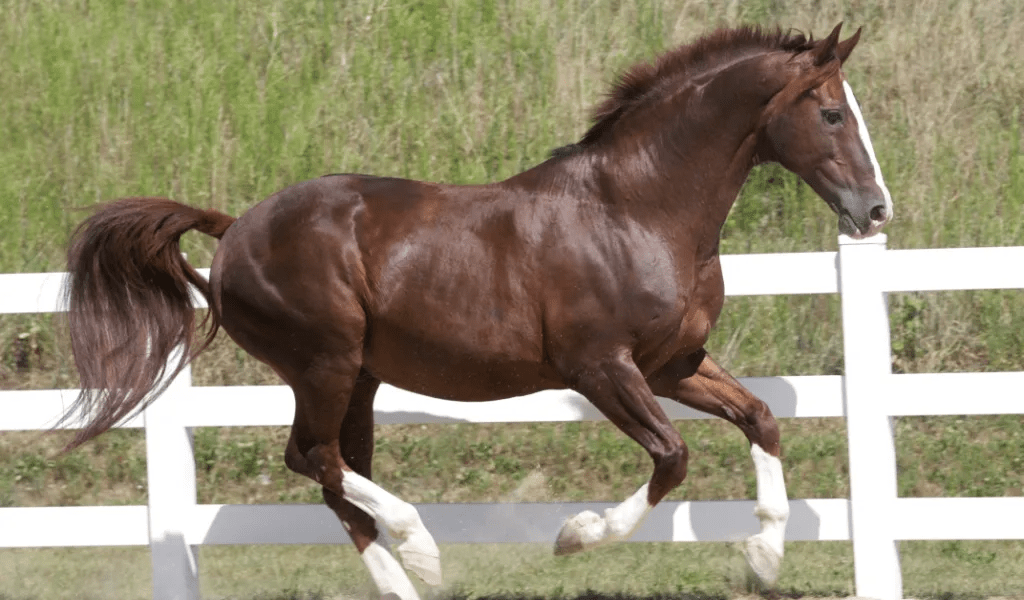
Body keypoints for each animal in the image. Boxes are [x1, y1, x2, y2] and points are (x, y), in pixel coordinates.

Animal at [59, 23, 891, 598]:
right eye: (830, 114)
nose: (876, 210)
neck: (637, 210)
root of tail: (233, 229)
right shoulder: (601, 368)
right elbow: (672, 456)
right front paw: (573, 536)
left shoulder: (675, 364)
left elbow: (761, 419)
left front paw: (764, 558)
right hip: (325, 362)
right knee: (314, 459)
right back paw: (422, 549)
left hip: (359, 378)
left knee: (336, 474)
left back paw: (406, 578)